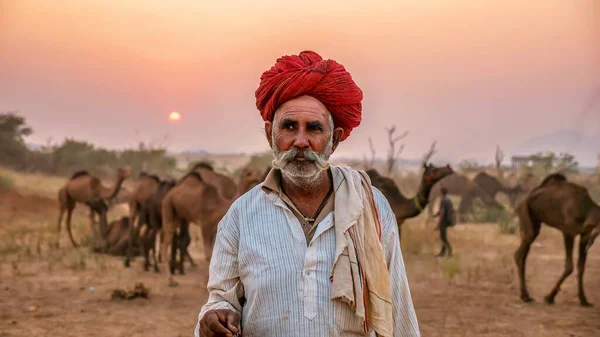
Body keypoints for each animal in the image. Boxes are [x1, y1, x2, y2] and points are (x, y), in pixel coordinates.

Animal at [510, 172, 600, 306]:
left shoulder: (585, 235)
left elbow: (581, 267)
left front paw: (584, 300)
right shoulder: (569, 232)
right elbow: (569, 266)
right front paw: (549, 297)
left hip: (535, 221)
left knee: (521, 253)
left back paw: (525, 296)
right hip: (525, 214)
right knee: (522, 251)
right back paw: (526, 296)